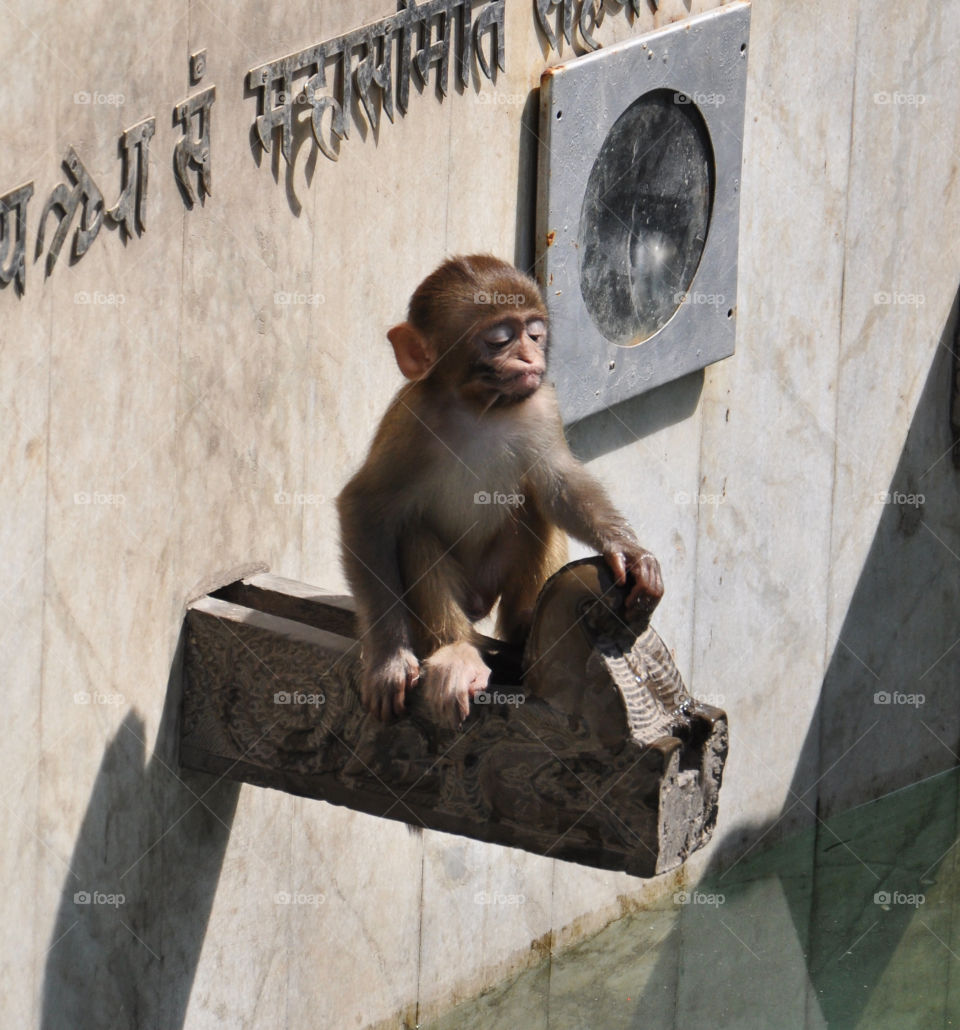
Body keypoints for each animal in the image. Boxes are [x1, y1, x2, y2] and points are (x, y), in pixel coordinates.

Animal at [335, 253, 659, 729]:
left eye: (535, 332)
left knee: (533, 506)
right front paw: (388, 658)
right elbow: (365, 508)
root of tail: (478, 604)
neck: (480, 409)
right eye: (499, 340)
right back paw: (456, 651)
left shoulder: (541, 403)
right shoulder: (411, 421)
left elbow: (558, 483)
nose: (529, 355)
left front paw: (627, 550)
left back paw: (527, 630)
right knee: (414, 532)